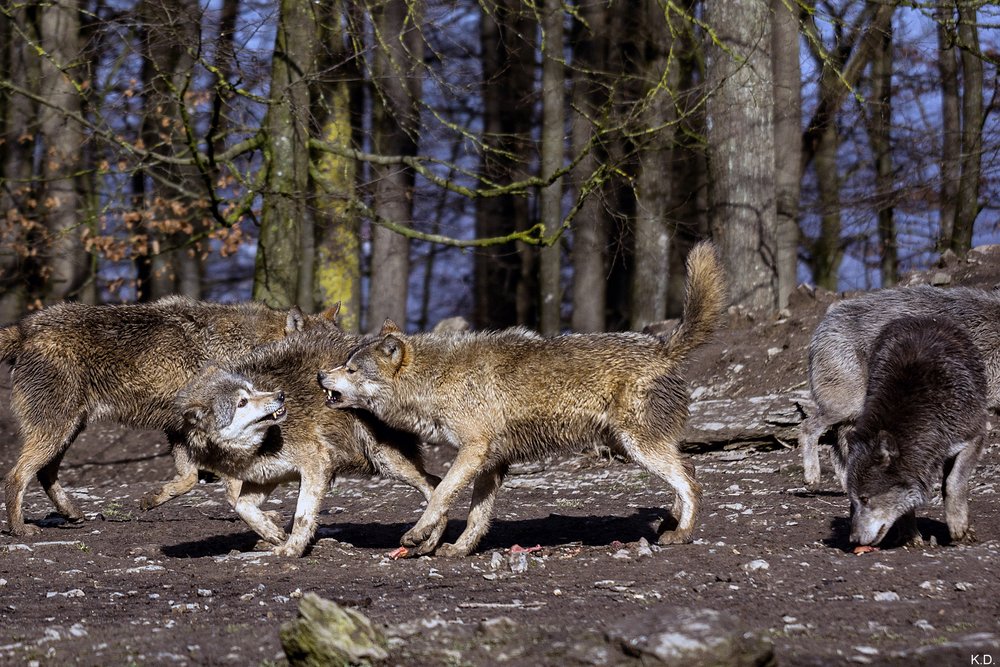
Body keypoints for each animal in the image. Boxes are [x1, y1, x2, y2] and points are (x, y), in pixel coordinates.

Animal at [0, 296, 335, 536]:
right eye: (322, 354)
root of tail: (25, 328)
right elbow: (223, 483)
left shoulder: (178, 429)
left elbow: (190, 480)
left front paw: (152, 499)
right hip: (57, 431)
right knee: (15, 476)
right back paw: (20, 530)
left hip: (68, 431)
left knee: (44, 473)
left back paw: (71, 513)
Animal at [170, 328, 439, 557]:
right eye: (242, 402)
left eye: (252, 390)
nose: (280, 395)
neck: (257, 446)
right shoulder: (267, 476)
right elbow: (241, 507)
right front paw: (274, 534)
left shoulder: (315, 463)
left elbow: (302, 515)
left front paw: (292, 549)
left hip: (385, 461)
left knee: (434, 485)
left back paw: (429, 540)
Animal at [318, 241, 726, 557]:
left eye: (351, 369)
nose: (321, 375)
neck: (437, 379)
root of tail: (663, 347)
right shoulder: (492, 464)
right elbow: (476, 515)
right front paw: (459, 550)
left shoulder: (473, 451)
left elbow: (440, 494)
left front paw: (418, 534)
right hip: (632, 447)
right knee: (686, 473)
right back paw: (669, 523)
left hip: (639, 448)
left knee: (690, 480)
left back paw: (680, 534)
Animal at [845, 315, 988, 546]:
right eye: (853, 501)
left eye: (865, 499)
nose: (853, 540)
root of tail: (922, 318)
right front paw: (910, 535)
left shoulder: (975, 436)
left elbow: (954, 483)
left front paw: (958, 526)